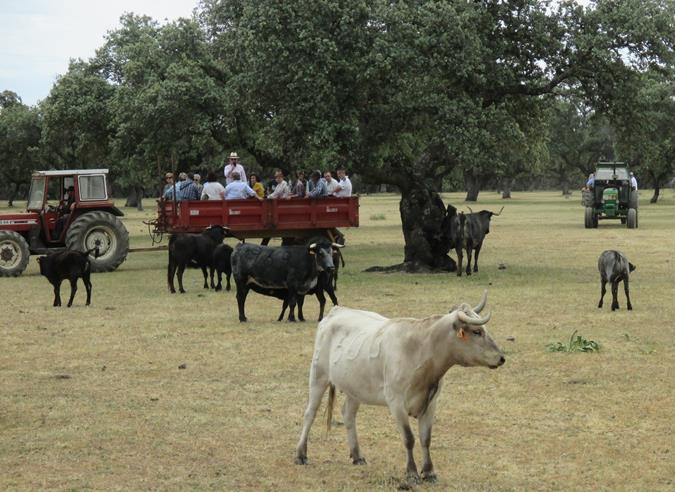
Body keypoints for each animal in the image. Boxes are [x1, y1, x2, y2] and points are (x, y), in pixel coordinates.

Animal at [294, 290, 504, 482]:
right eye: (477, 332)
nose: (501, 357)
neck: (421, 349)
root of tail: (336, 311)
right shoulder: (396, 402)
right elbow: (409, 438)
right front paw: (411, 472)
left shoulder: (431, 403)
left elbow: (426, 438)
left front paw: (429, 472)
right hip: (318, 375)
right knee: (310, 413)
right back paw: (301, 454)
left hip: (355, 387)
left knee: (348, 414)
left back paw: (357, 455)